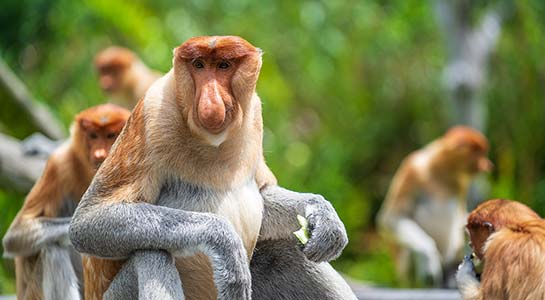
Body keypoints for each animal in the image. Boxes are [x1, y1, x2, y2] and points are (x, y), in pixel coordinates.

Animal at [3, 103, 130, 300]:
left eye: (111, 135)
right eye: (93, 135)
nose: (100, 154)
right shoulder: (59, 164)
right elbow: (15, 235)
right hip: (33, 293)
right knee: (53, 249)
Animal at [69, 35, 356, 300]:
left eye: (223, 65)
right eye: (198, 65)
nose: (211, 101)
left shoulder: (254, 114)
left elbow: (263, 194)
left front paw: (324, 216)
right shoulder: (152, 115)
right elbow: (88, 222)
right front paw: (224, 242)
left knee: (284, 249)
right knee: (151, 253)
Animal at [376, 125, 490, 288]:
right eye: (478, 154)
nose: (487, 165)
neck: (441, 171)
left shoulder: (461, 184)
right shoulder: (412, 169)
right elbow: (391, 218)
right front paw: (428, 257)